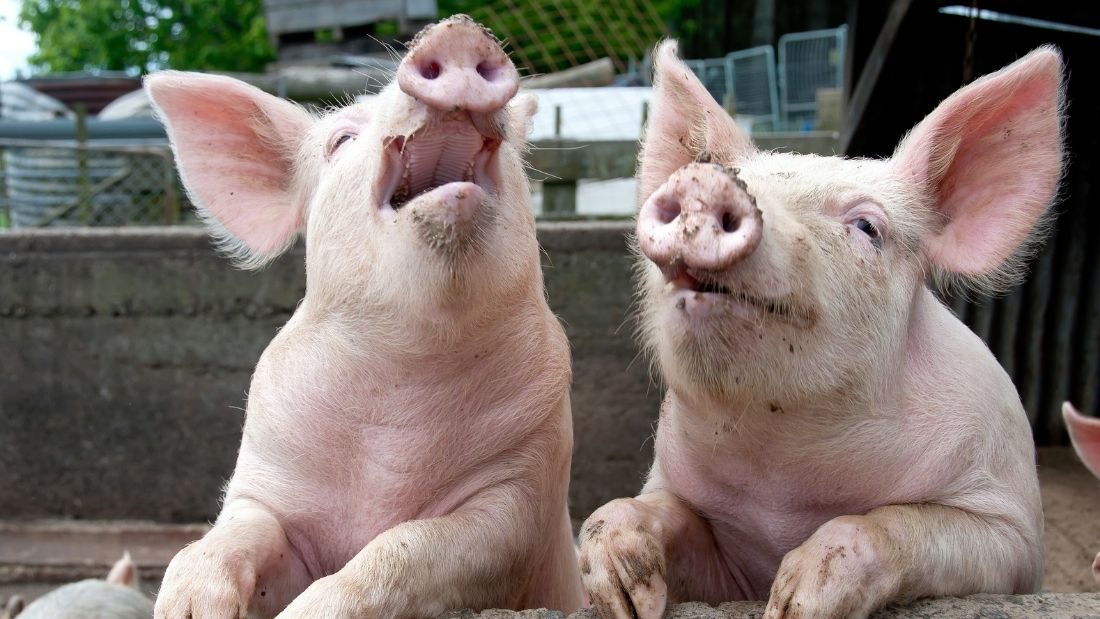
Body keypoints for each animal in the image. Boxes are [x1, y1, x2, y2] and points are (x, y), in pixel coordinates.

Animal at [144, 15, 582, 619]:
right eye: (341, 140)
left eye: (514, 146)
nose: (459, 31)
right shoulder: (265, 481)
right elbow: (231, 535)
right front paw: (185, 608)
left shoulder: (523, 496)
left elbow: (409, 546)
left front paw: (306, 611)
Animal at [579, 41, 1063, 619]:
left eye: (868, 227)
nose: (705, 182)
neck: (784, 479)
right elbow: (634, 512)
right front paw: (623, 599)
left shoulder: (1012, 531)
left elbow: (901, 523)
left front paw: (793, 603)